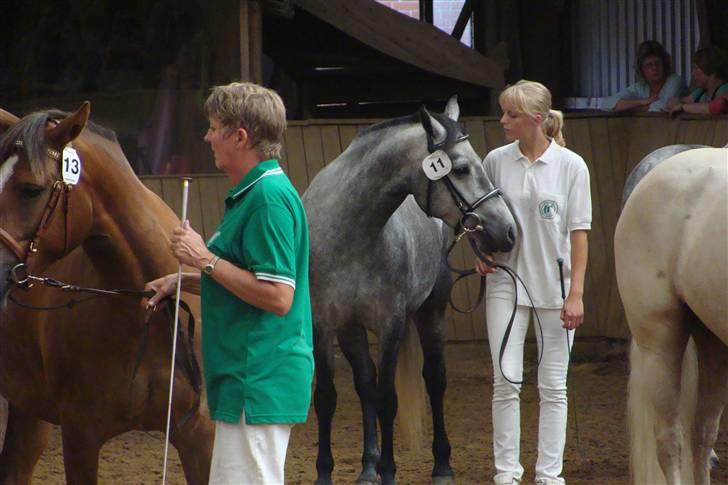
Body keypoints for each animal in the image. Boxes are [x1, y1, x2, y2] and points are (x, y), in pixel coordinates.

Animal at [302, 97, 516, 484]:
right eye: (462, 169)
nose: (506, 231)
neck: (349, 235)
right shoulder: (324, 323)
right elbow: (328, 398)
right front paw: (327, 473)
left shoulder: (391, 324)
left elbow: (389, 401)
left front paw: (389, 472)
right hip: (351, 331)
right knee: (365, 384)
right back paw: (367, 468)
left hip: (431, 313)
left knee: (434, 380)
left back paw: (441, 465)